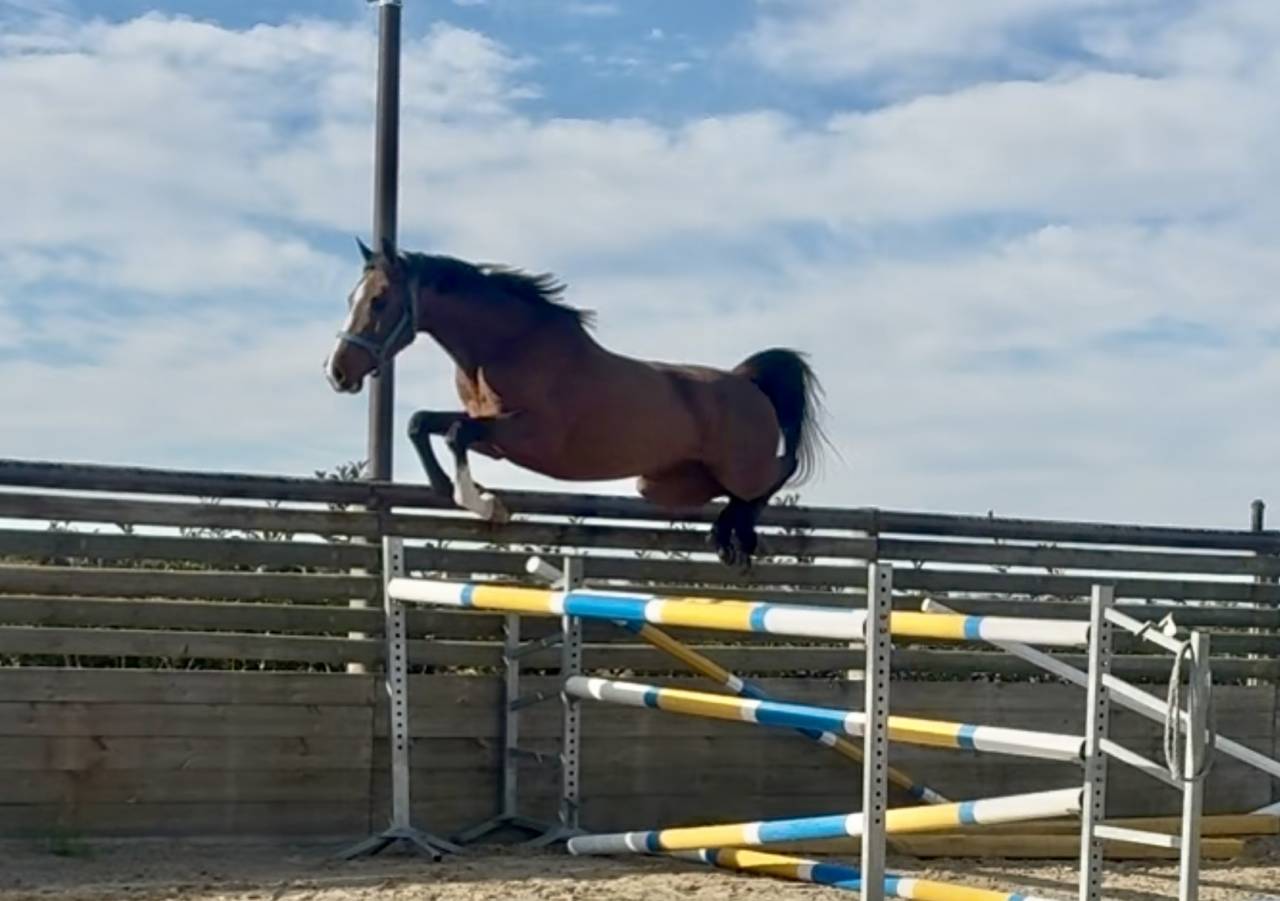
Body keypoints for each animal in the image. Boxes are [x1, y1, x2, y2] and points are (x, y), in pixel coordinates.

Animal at [324, 238, 829, 568]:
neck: (506, 345)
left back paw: (737, 538)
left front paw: (483, 503)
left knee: (778, 470)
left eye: (379, 301)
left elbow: (453, 432)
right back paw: (725, 534)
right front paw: (450, 490)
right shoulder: (495, 435)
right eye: (351, 298)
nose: (337, 372)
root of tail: (747, 382)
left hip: (738, 466)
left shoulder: (529, 436)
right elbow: (422, 422)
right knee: (736, 492)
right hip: (667, 483)